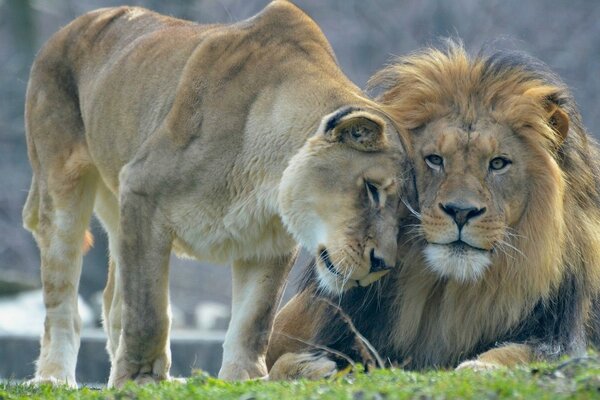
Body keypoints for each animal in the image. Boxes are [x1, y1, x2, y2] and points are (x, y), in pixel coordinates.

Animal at [21, 0, 410, 388]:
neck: (265, 172)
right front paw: (142, 379)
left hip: (118, 208)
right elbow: (148, 312)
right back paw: (53, 378)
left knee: (112, 299)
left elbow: (254, 319)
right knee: (63, 302)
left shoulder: (271, 241)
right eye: (372, 190)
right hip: (62, 189)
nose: (383, 264)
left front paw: (247, 378)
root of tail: (69, 29)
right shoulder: (142, 191)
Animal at [266, 42, 600, 380]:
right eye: (435, 159)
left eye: (498, 163)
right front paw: (312, 366)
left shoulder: (560, 338)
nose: (461, 211)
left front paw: (480, 367)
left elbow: (523, 354)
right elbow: (280, 366)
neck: (448, 294)